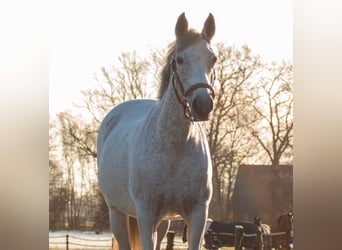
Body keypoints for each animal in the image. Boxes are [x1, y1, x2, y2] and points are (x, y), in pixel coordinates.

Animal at [97, 12, 216, 250]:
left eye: (213, 59)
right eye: (180, 60)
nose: (202, 105)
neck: (174, 149)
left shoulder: (198, 215)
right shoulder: (146, 215)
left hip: (163, 222)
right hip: (117, 213)